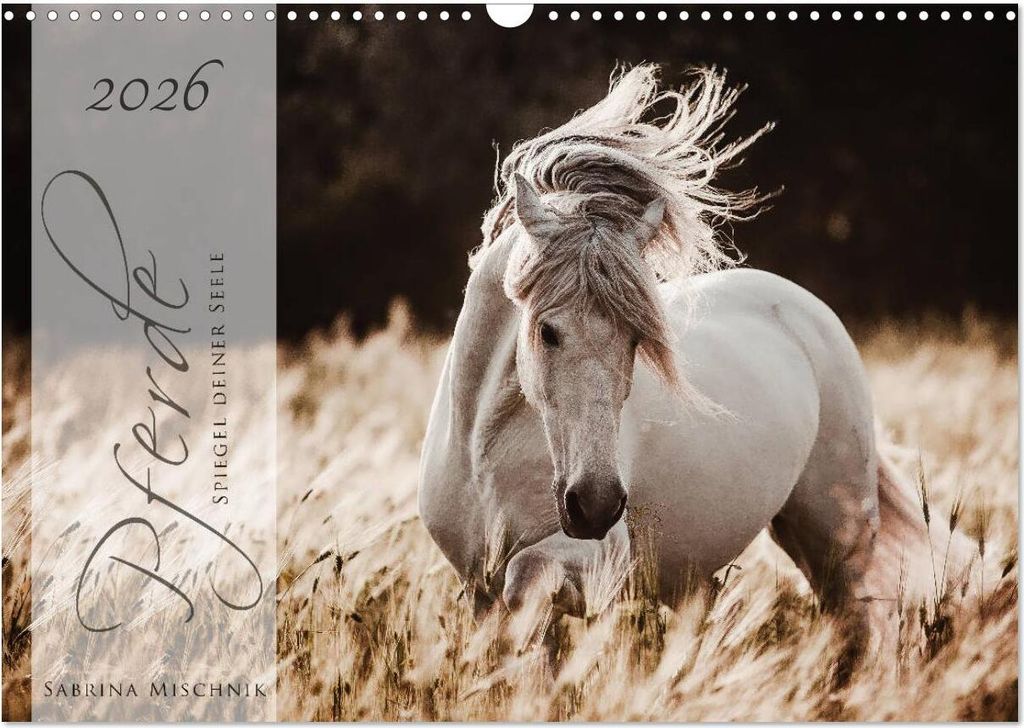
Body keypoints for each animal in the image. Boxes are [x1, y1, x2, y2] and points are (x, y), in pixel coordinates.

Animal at [418, 65, 977, 639]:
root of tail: (806, 310)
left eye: (637, 339)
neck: (485, 447)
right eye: (547, 331)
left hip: (838, 532)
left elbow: (524, 579)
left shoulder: (592, 561)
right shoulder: (476, 591)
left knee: (862, 618)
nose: (596, 506)